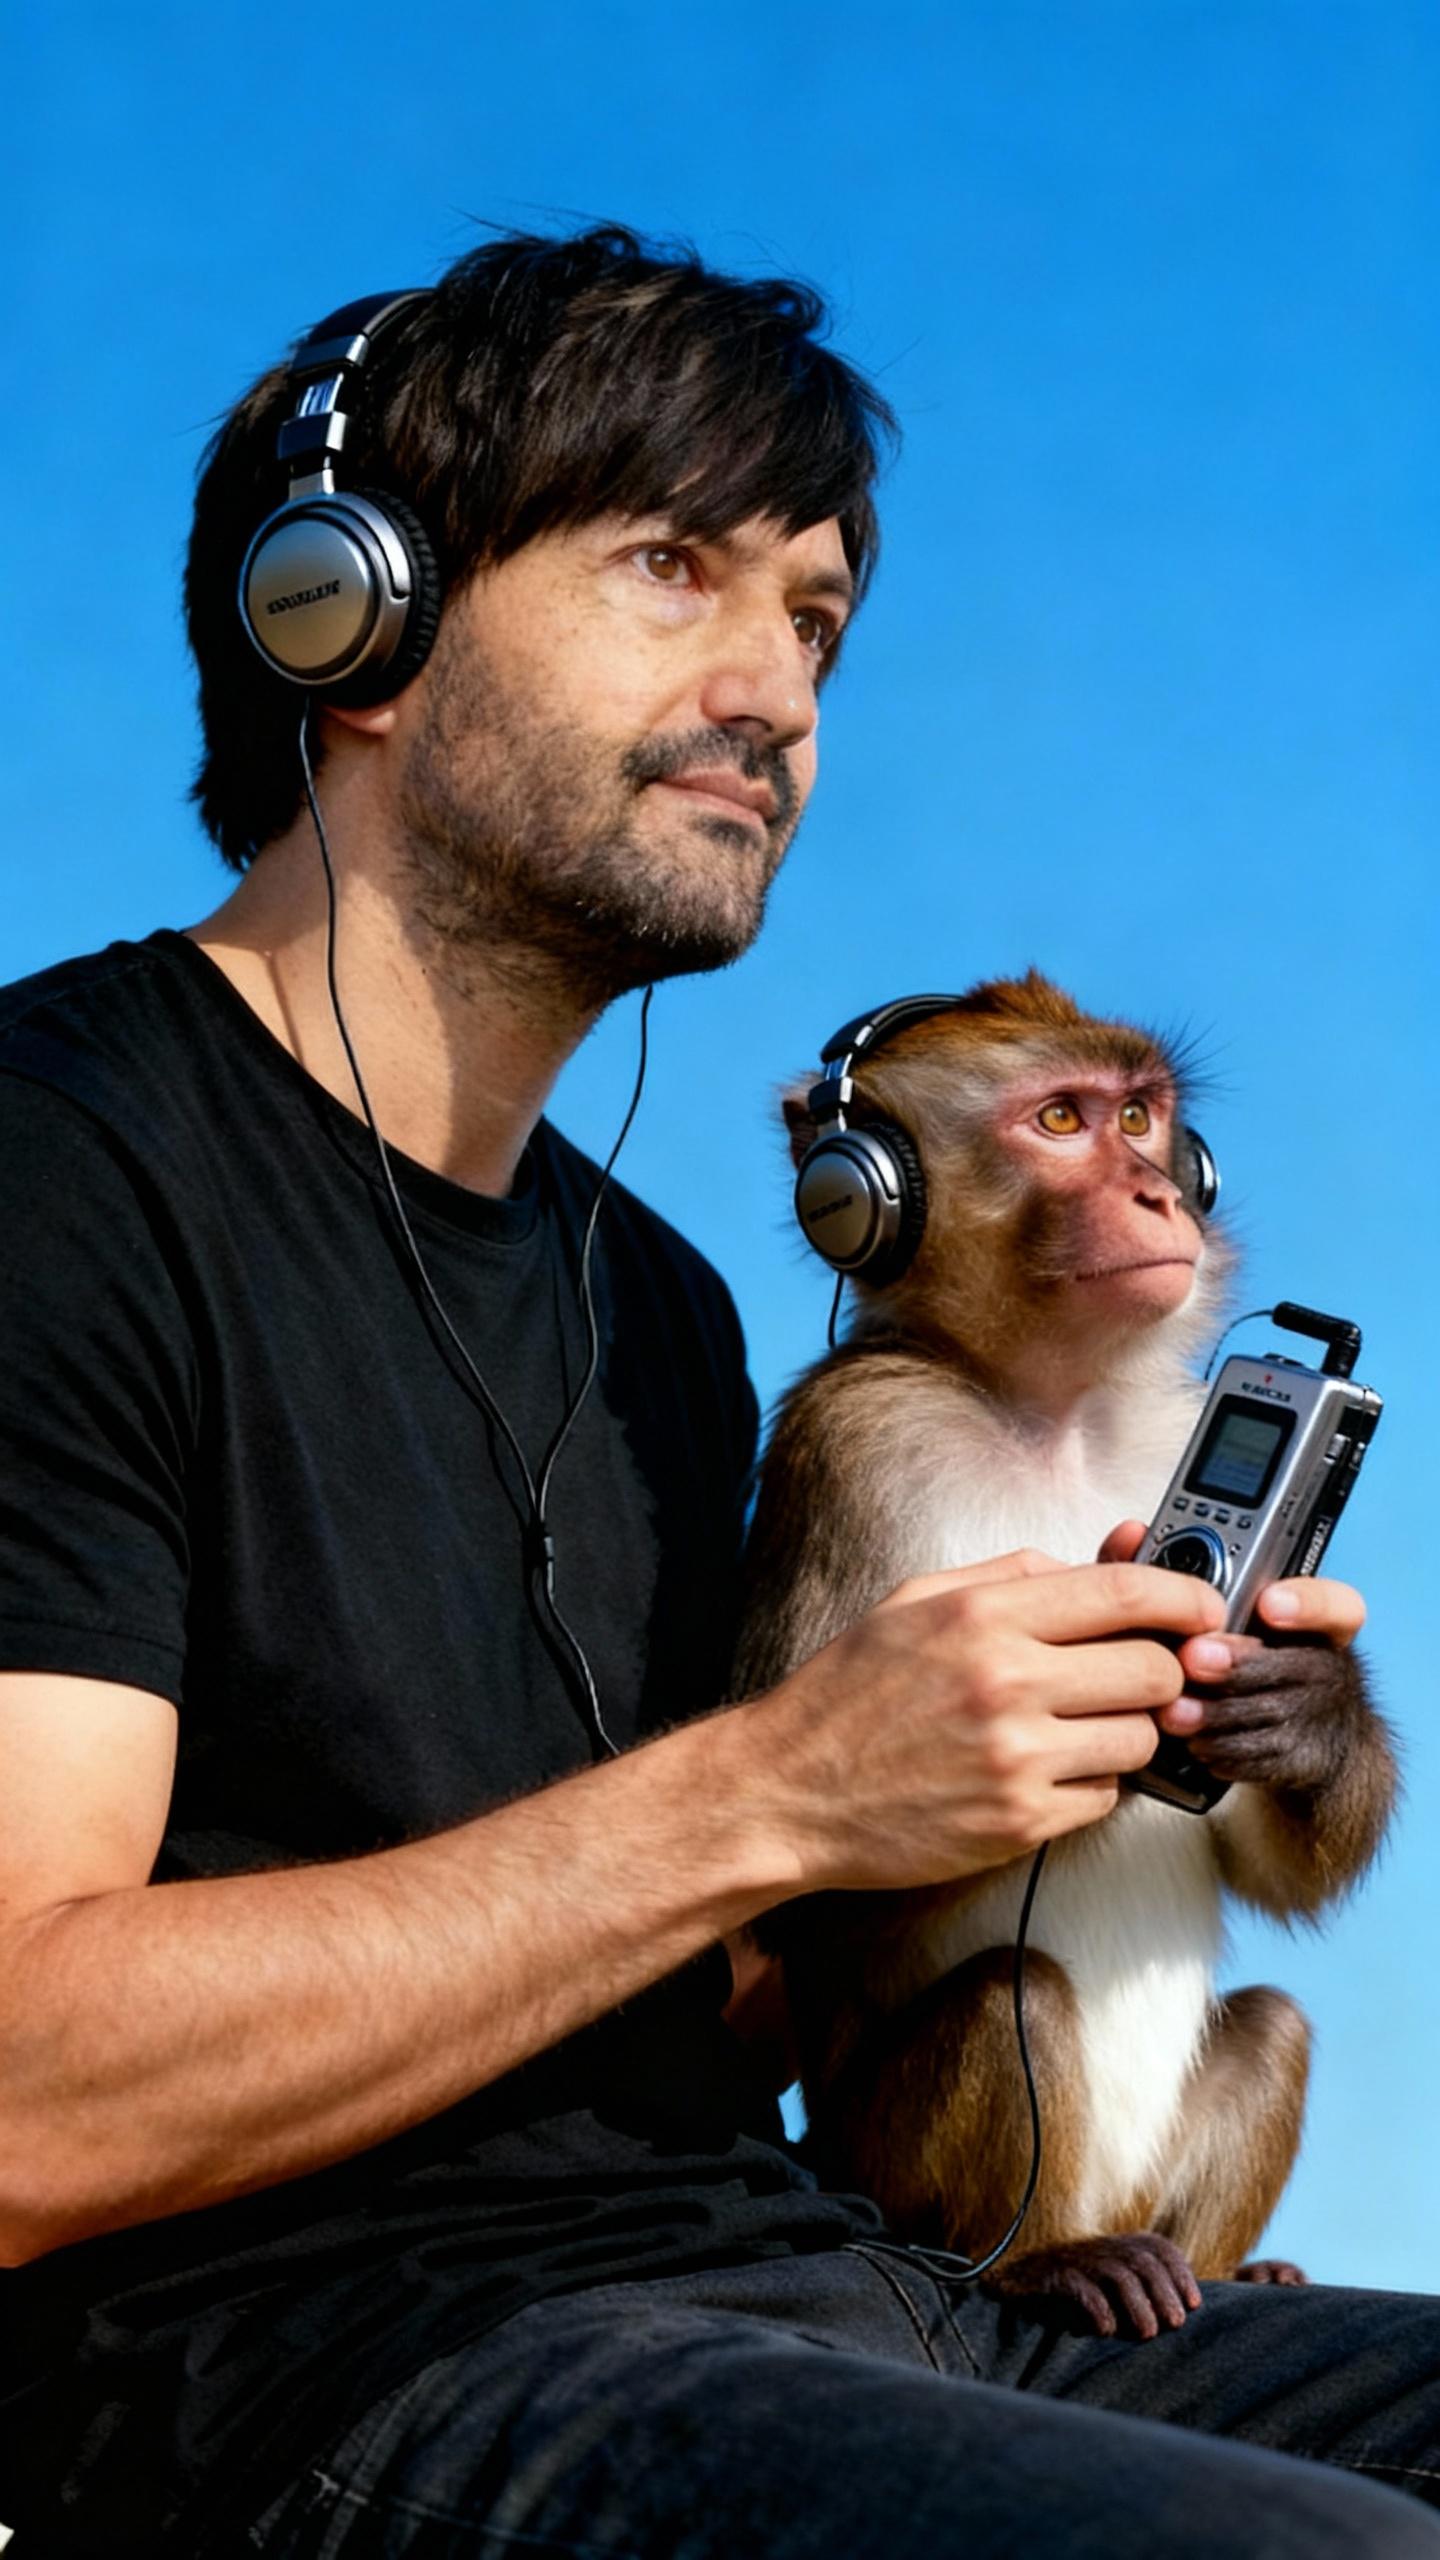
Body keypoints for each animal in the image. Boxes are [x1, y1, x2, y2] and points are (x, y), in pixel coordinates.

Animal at [733, 972, 1396, 2340]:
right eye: (1057, 1120)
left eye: (1139, 1119)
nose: (1156, 1194)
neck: (1055, 1410)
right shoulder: (847, 1444)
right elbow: (787, 1890)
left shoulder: (1177, 1427)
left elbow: (1266, 1853)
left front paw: (1308, 1707)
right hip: (887, 2169)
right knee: (1017, 1992)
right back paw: (1047, 2262)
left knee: (1272, 2028)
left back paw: (1221, 2267)